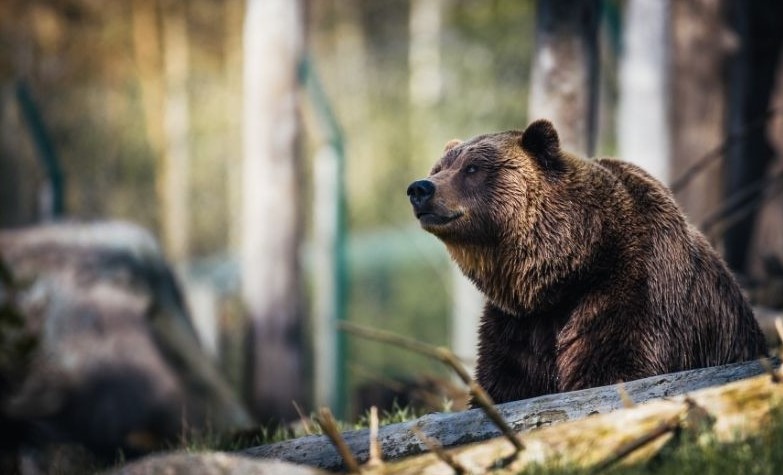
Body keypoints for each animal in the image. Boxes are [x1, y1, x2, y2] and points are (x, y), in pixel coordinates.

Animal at [406, 119, 768, 404]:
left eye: (472, 168)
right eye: (438, 168)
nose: (420, 188)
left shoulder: (632, 290)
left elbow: (614, 367)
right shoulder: (518, 324)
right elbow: (505, 382)